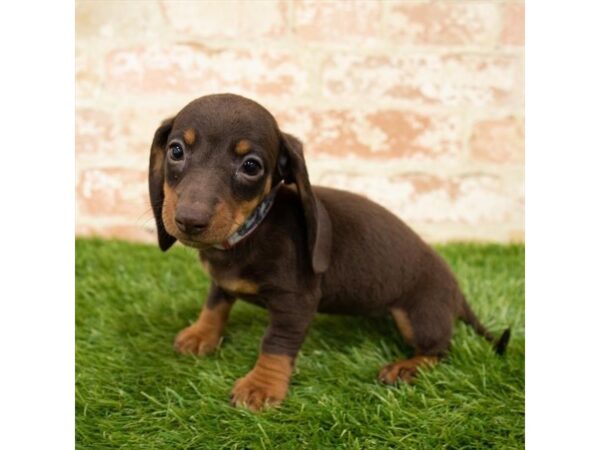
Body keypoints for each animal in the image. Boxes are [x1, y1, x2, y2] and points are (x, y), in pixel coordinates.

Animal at [148, 94, 508, 412]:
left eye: (251, 166)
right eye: (176, 150)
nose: (189, 220)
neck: (249, 231)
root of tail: (456, 289)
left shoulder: (297, 304)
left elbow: (275, 344)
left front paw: (261, 387)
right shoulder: (220, 281)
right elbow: (215, 304)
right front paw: (201, 334)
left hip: (420, 316)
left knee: (442, 348)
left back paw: (407, 366)